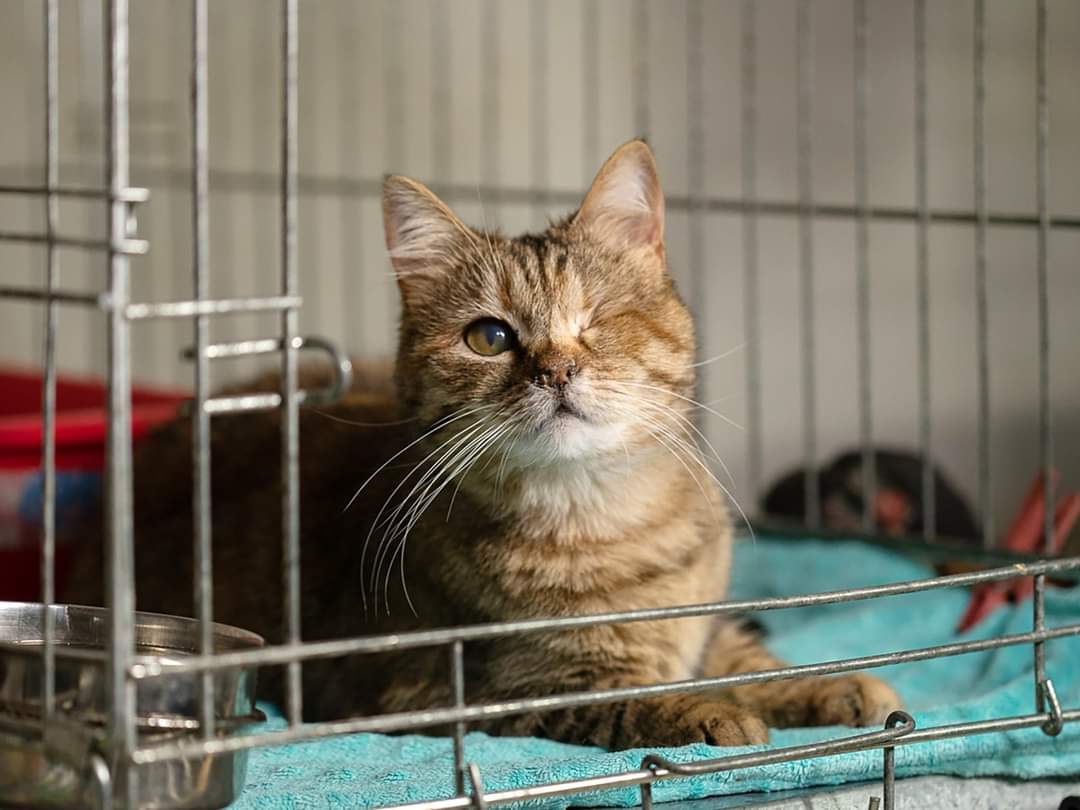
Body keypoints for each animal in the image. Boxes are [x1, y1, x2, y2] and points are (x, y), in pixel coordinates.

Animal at [63, 139, 898, 747]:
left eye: (596, 320)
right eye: (489, 337)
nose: (557, 369)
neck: (604, 516)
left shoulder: (702, 620)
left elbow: (733, 652)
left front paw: (831, 681)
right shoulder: (458, 688)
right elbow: (625, 691)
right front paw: (706, 709)